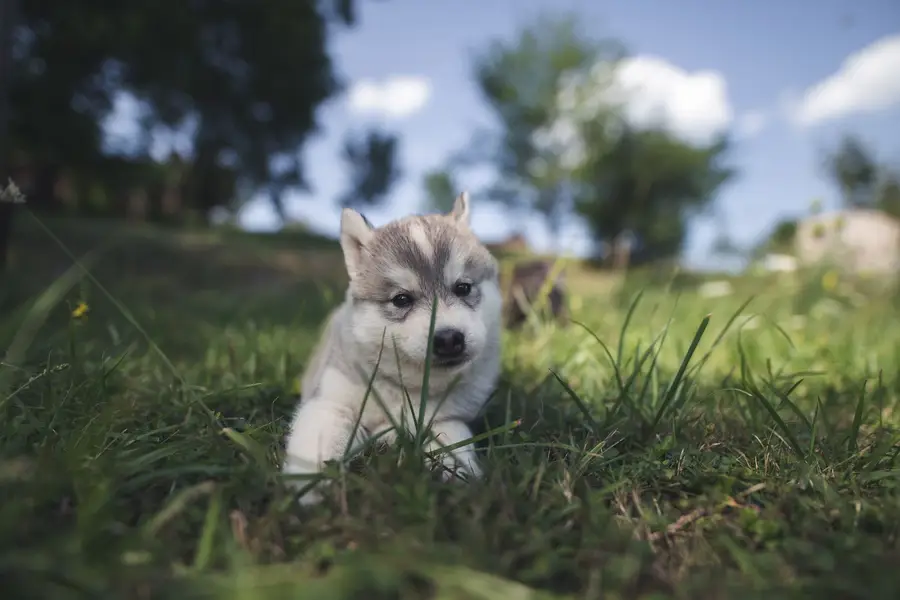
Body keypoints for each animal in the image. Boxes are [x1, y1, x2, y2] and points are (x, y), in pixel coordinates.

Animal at [284, 195, 500, 504]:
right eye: (401, 299)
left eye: (463, 288)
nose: (449, 339)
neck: (406, 387)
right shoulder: (331, 401)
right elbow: (320, 439)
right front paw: (311, 486)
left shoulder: (447, 416)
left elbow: (453, 437)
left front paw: (461, 477)